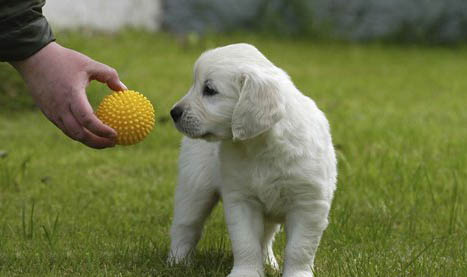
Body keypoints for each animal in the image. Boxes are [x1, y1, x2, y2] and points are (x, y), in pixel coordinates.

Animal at [168, 43, 336, 276]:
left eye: (209, 90)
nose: (173, 112)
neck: (261, 145)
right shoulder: (241, 199)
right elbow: (246, 242)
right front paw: (245, 272)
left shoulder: (309, 203)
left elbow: (299, 248)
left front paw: (296, 273)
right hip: (195, 186)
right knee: (186, 226)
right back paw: (177, 262)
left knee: (265, 237)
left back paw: (268, 263)